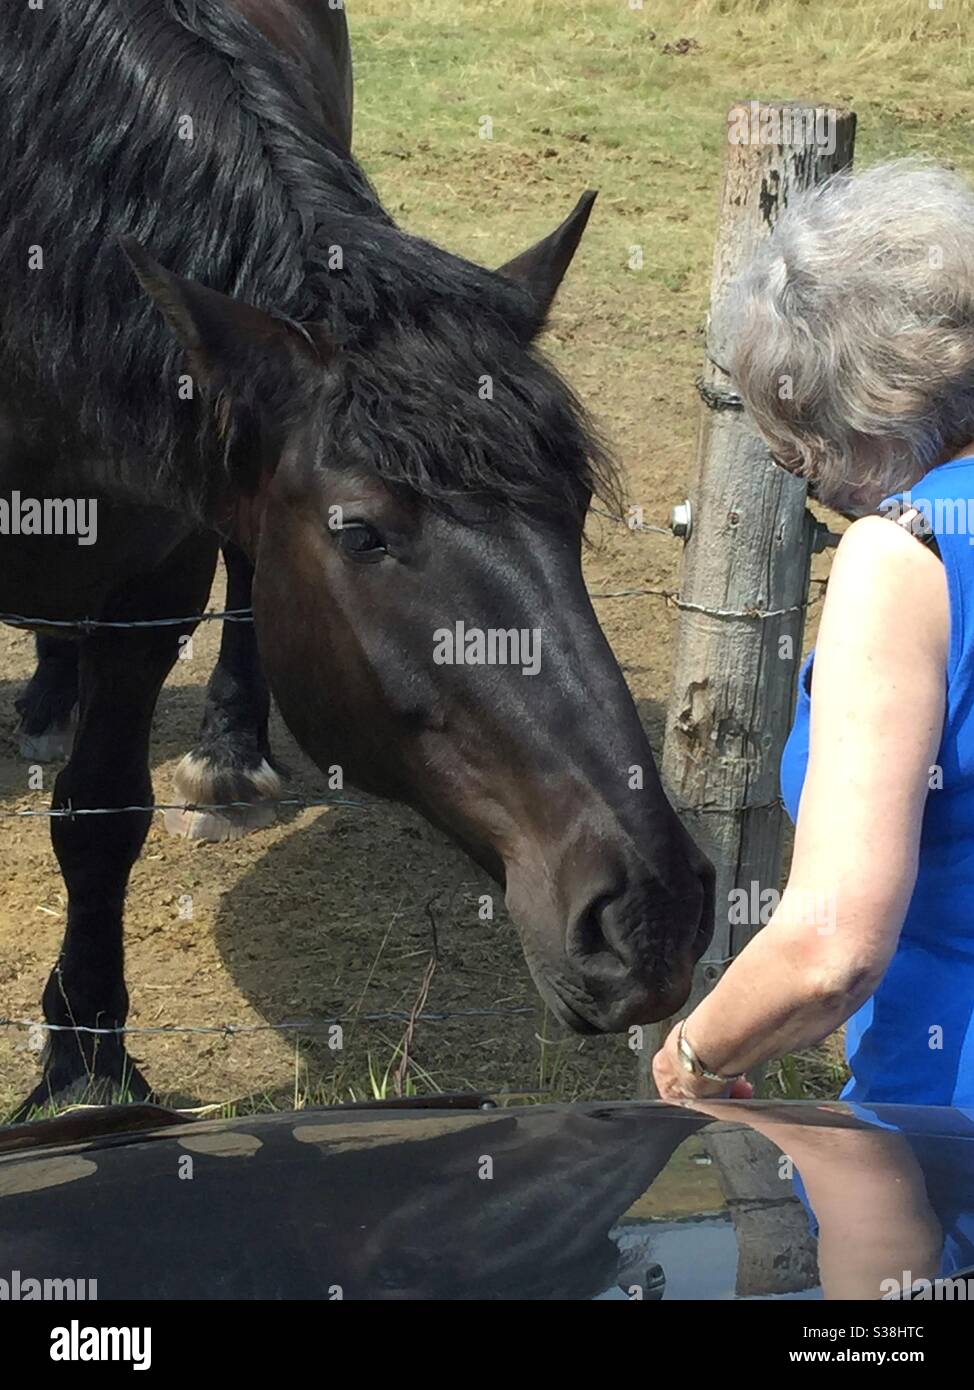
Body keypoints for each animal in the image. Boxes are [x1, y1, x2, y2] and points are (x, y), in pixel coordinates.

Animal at [0, 0, 714, 1113]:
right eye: (360, 531)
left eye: (574, 507)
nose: (655, 910)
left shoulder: (152, 586)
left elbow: (100, 817)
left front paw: (87, 1060)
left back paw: (226, 752)